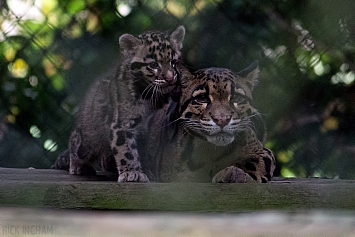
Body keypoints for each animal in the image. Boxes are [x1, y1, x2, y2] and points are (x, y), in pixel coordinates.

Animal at [53, 25, 186, 182]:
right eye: (153, 65)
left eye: (173, 62)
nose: (170, 78)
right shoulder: (122, 124)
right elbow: (126, 151)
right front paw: (131, 172)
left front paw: (144, 170)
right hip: (88, 142)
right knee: (75, 141)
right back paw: (78, 165)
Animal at [140, 62, 276, 182]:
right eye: (202, 98)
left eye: (236, 98)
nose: (222, 119)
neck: (212, 150)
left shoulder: (261, 150)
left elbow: (253, 163)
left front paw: (235, 173)